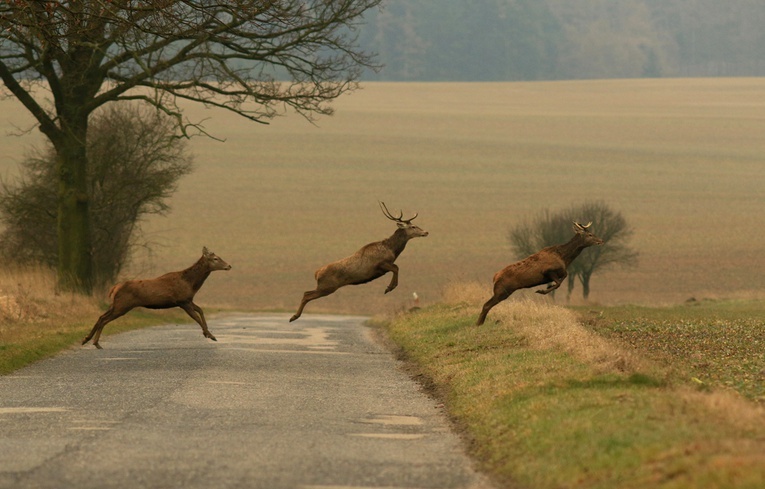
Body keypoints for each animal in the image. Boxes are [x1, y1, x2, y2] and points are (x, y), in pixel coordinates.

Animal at [81, 248, 230, 346]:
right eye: (215, 258)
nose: (229, 265)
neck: (191, 284)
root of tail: (114, 288)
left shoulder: (188, 300)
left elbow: (201, 310)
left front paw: (207, 333)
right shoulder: (182, 300)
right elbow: (197, 317)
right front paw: (210, 335)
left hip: (115, 304)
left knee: (101, 316)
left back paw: (87, 339)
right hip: (123, 305)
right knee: (104, 319)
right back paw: (94, 342)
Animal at [290, 200, 426, 322]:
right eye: (413, 226)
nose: (426, 232)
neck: (392, 249)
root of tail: (316, 273)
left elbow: (396, 267)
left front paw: (389, 287)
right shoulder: (380, 264)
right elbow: (396, 267)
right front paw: (389, 288)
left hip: (325, 286)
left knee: (306, 293)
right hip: (327, 286)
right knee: (307, 294)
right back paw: (294, 317)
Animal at [472, 223, 604, 326]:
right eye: (590, 234)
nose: (601, 240)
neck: (565, 258)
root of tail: (495, 277)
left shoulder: (559, 272)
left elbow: (563, 277)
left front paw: (547, 287)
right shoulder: (547, 270)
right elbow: (559, 282)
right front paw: (542, 291)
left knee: (487, 304)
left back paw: (480, 323)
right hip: (502, 290)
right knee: (486, 305)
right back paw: (478, 323)